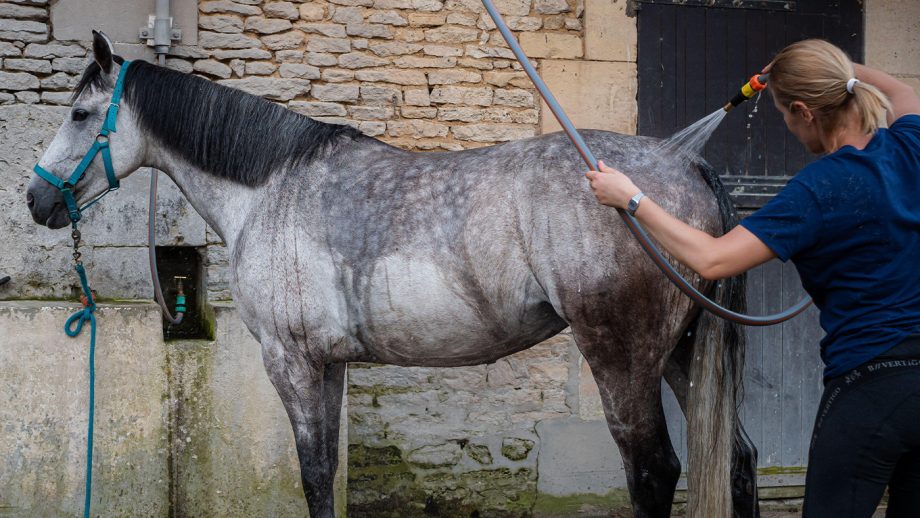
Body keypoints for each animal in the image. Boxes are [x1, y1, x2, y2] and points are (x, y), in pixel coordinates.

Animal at [26, 32, 758, 518]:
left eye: (81, 114)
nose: (35, 201)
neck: (272, 187)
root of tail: (684, 162)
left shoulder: (290, 361)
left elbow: (313, 475)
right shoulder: (327, 364)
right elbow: (323, 471)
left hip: (622, 357)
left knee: (654, 471)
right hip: (682, 353)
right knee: (738, 459)